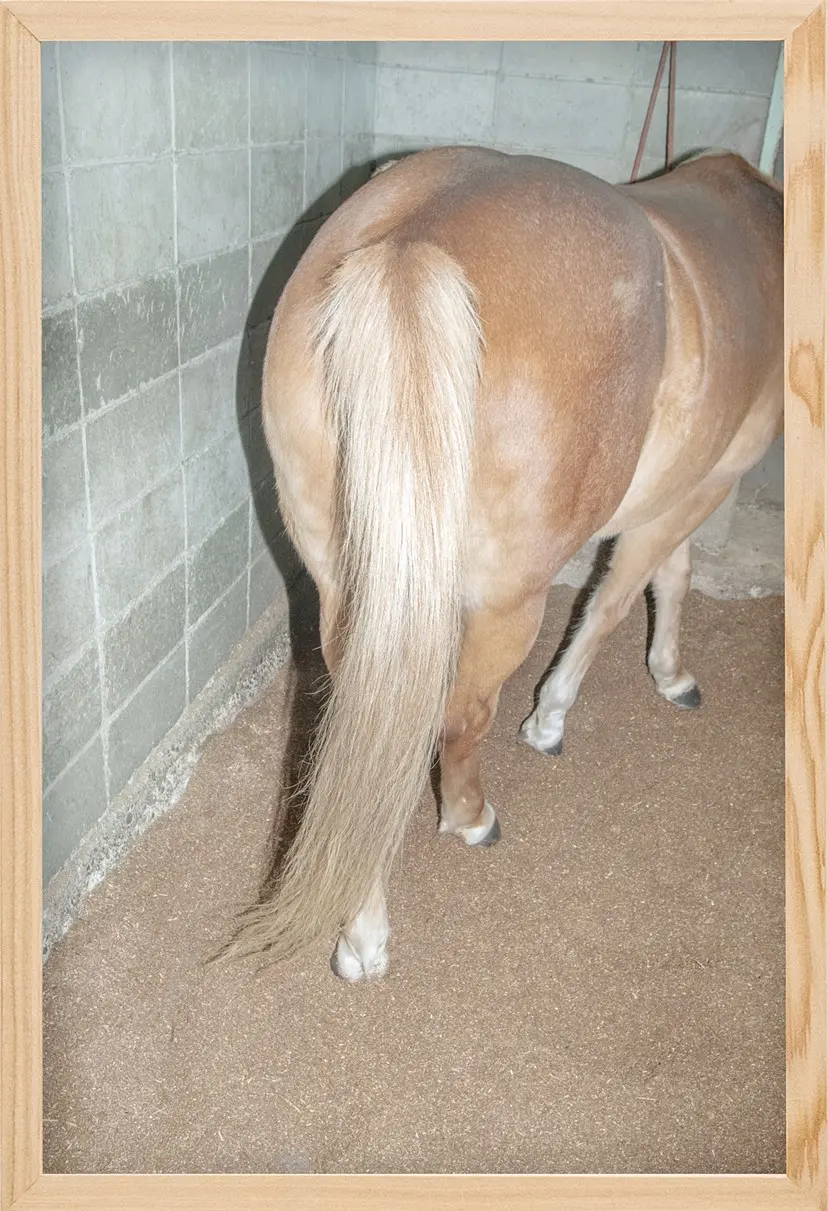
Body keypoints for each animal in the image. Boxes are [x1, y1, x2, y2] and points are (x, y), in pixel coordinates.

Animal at [229, 146, 783, 981]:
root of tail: (414, 242)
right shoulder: (708, 481)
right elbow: (623, 595)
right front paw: (559, 715)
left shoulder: (684, 487)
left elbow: (666, 577)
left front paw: (668, 674)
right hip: (505, 602)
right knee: (459, 719)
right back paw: (466, 823)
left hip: (354, 592)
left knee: (368, 730)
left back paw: (362, 930)